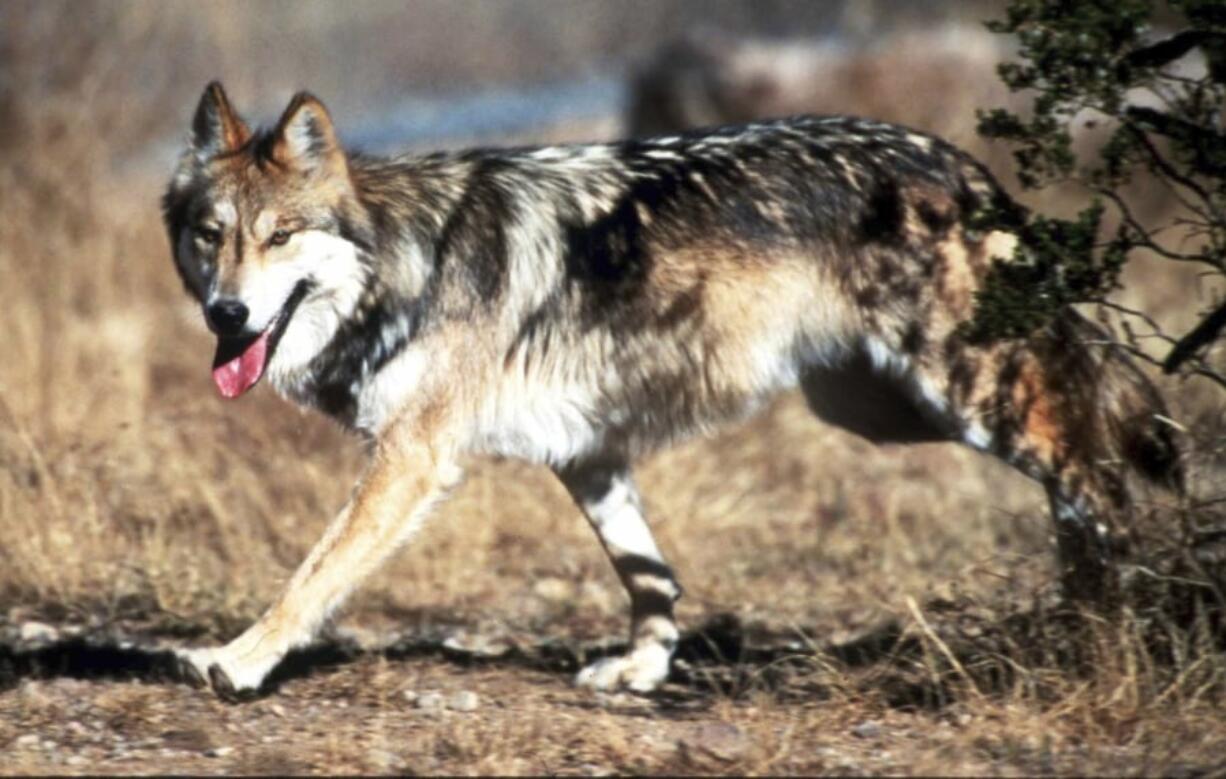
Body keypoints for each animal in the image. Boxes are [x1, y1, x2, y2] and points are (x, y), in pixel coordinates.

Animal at [160, 84, 1176, 701]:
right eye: (212, 235)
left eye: (281, 235)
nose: (226, 313)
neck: (406, 262)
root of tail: (956, 160)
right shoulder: (586, 454)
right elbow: (649, 575)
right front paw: (643, 669)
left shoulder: (412, 459)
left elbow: (310, 575)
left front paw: (235, 660)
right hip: (879, 411)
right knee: (1079, 450)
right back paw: (1096, 614)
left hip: (960, 391)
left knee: (1096, 464)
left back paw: (1128, 619)